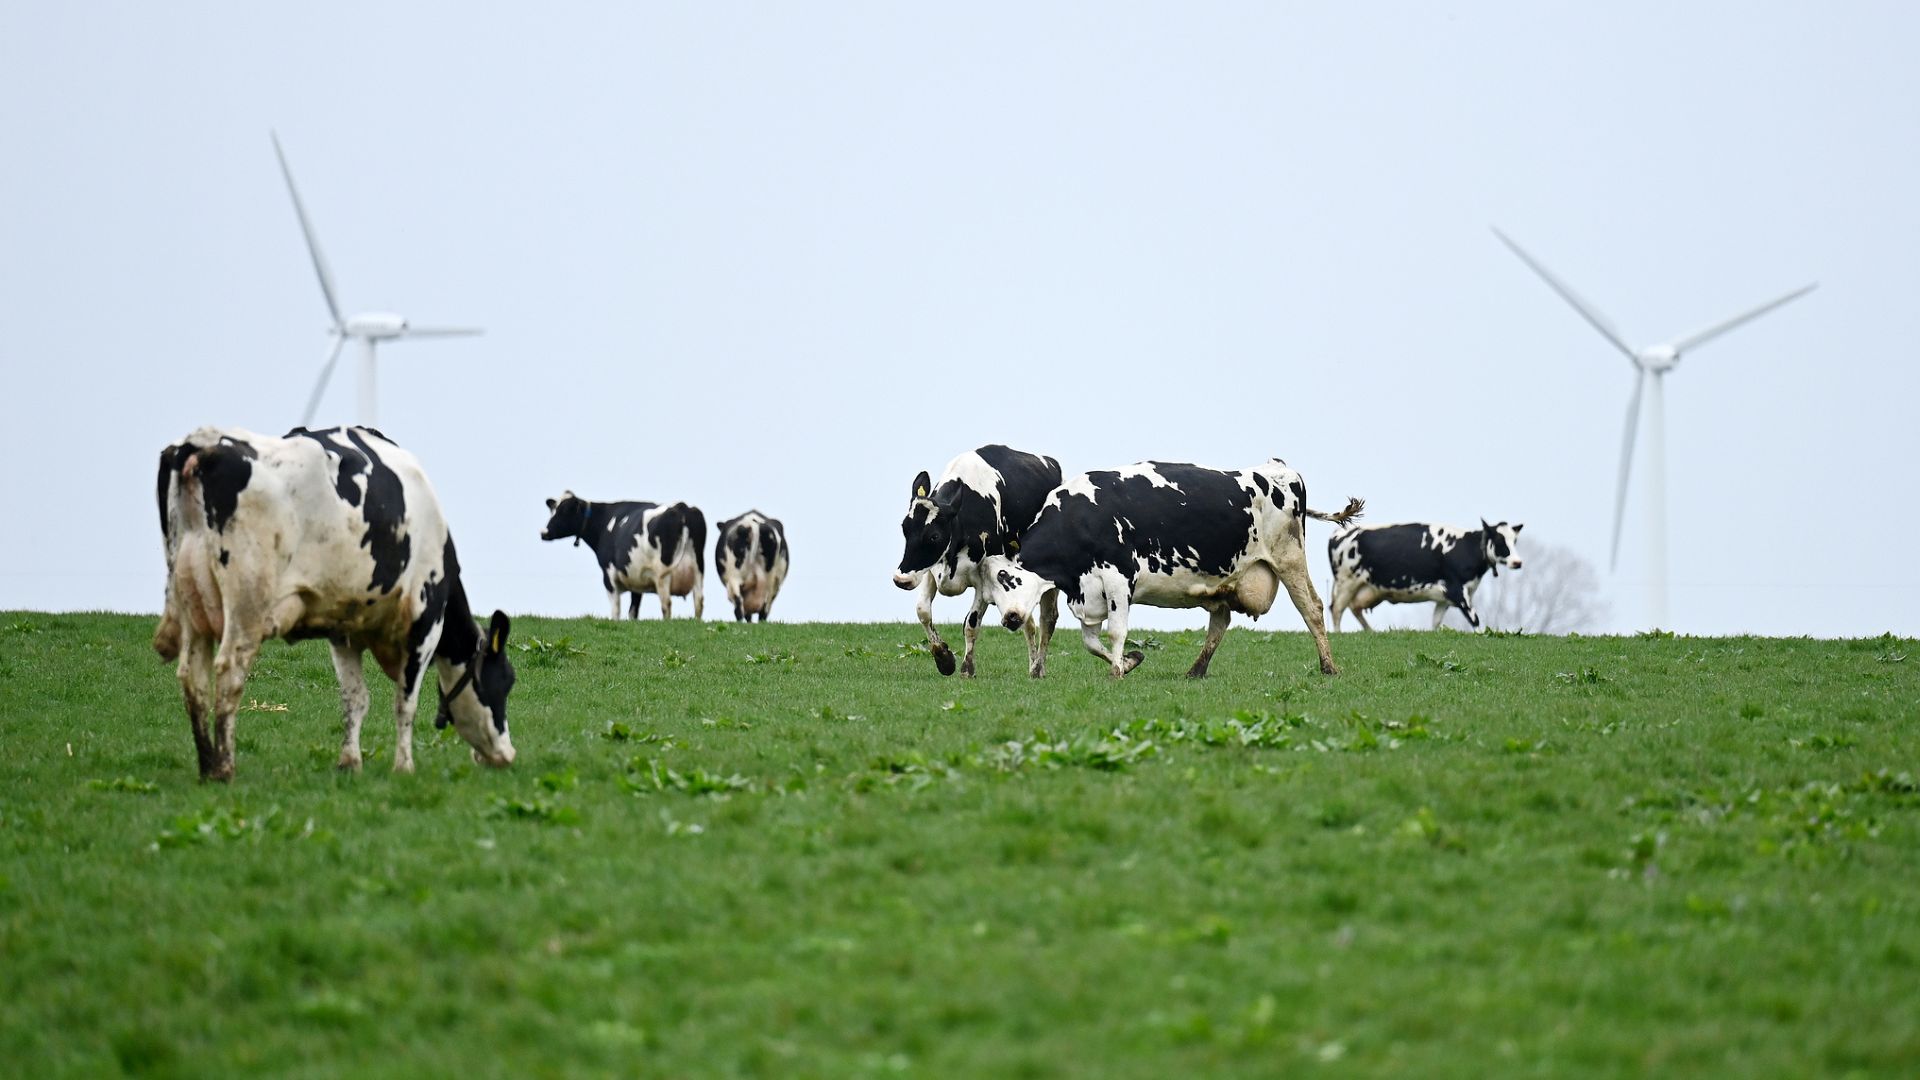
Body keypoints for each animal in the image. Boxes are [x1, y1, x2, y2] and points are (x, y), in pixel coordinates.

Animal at [152, 420, 518, 772]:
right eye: (506, 681)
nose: (506, 754)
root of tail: (200, 444)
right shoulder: (425, 621)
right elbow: (405, 702)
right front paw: (404, 766)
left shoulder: (343, 627)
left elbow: (355, 699)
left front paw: (350, 762)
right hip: (247, 603)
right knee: (229, 673)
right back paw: (224, 769)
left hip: (190, 599)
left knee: (193, 677)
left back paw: (206, 766)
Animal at [541, 491, 706, 618]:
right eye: (553, 510)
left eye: (564, 511)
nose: (544, 533)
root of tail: (681, 507)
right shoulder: (637, 578)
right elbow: (633, 611)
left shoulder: (608, 574)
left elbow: (616, 609)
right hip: (698, 569)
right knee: (698, 601)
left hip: (662, 573)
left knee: (667, 604)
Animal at [894, 440, 1067, 672]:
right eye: (904, 527)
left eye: (934, 536)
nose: (901, 579)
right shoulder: (932, 570)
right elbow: (923, 611)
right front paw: (943, 658)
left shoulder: (984, 578)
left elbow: (971, 623)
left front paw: (967, 667)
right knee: (1028, 622)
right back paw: (1033, 665)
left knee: (1047, 618)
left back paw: (1038, 667)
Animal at [990, 457, 1367, 676]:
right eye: (992, 593)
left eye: (1006, 577)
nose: (1009, 619)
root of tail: (1278, 467)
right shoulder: (1089, 592)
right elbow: (1090, 641)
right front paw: (1128, 662)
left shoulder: (1118, 578)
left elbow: (1115, 632)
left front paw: (1117, 670)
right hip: (1226, 581)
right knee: (1221, 622)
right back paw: (1195, 671)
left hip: (1289, 559)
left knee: (1312, 608)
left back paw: (1328, 667)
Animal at [1328, 518, 1520, 626]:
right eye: (1499, 541)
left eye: (1515, 541)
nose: (1518, 562)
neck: (1467, 547)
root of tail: (1340, 532)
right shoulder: (1457, 591)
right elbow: (1476, 622)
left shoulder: (1445, 597)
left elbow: (1435, 623)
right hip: (1347, 581)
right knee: (1336, 609)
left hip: (1365, 588)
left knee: (1354, 608)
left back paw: (1370, 631)